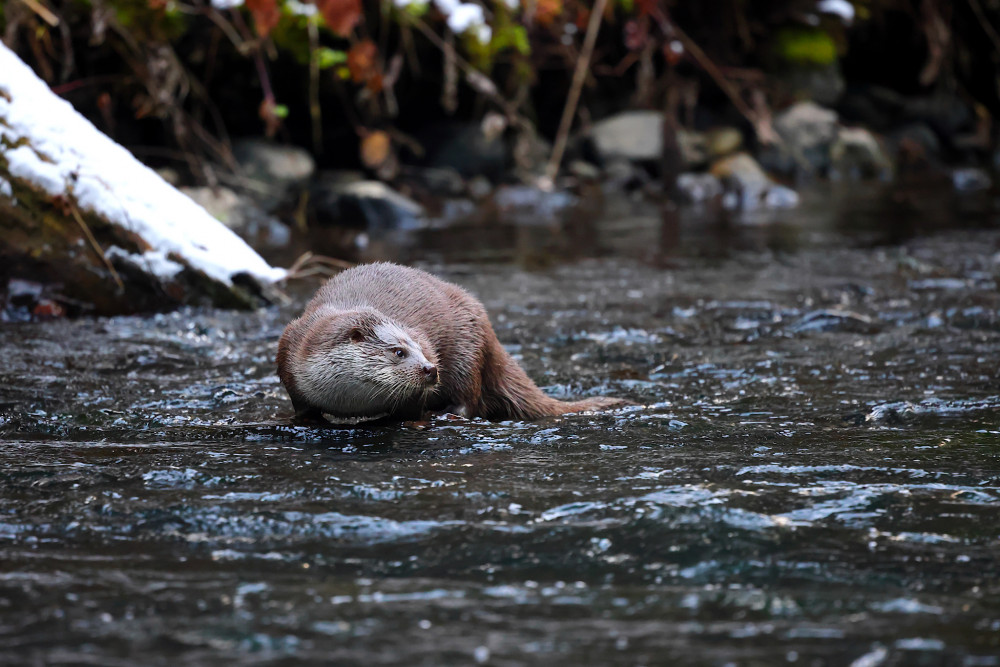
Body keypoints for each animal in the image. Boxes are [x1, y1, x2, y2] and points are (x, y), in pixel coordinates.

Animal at [278, 264, 628, 420]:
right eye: (398, 352)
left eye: (419, 349)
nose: (430, 369)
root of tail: (485, 323)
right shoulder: (289, 350)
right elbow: (301, 405)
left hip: (466, 348)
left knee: (471, 396)